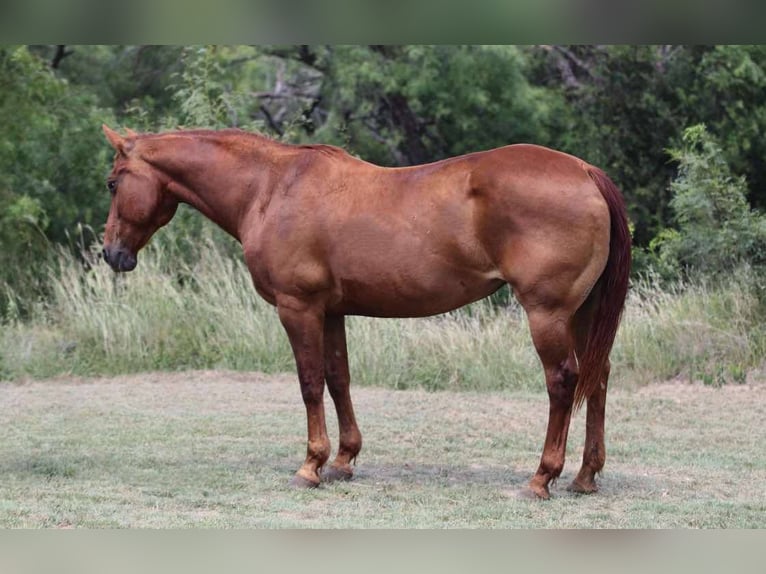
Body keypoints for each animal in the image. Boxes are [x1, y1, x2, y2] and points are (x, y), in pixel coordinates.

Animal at [100, 124, 631, 499]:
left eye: (111, 183)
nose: (111, 254)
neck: (270, 189)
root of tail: (585, 171)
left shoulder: (298, 308)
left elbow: (310, 383)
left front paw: (310, 466)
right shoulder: (332, 312)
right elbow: (339, 379)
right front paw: (342, 461)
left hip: (547, 313)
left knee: (563, 382)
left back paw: (541, 478)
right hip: (582, 313)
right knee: (598, 378)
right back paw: (585, 476)